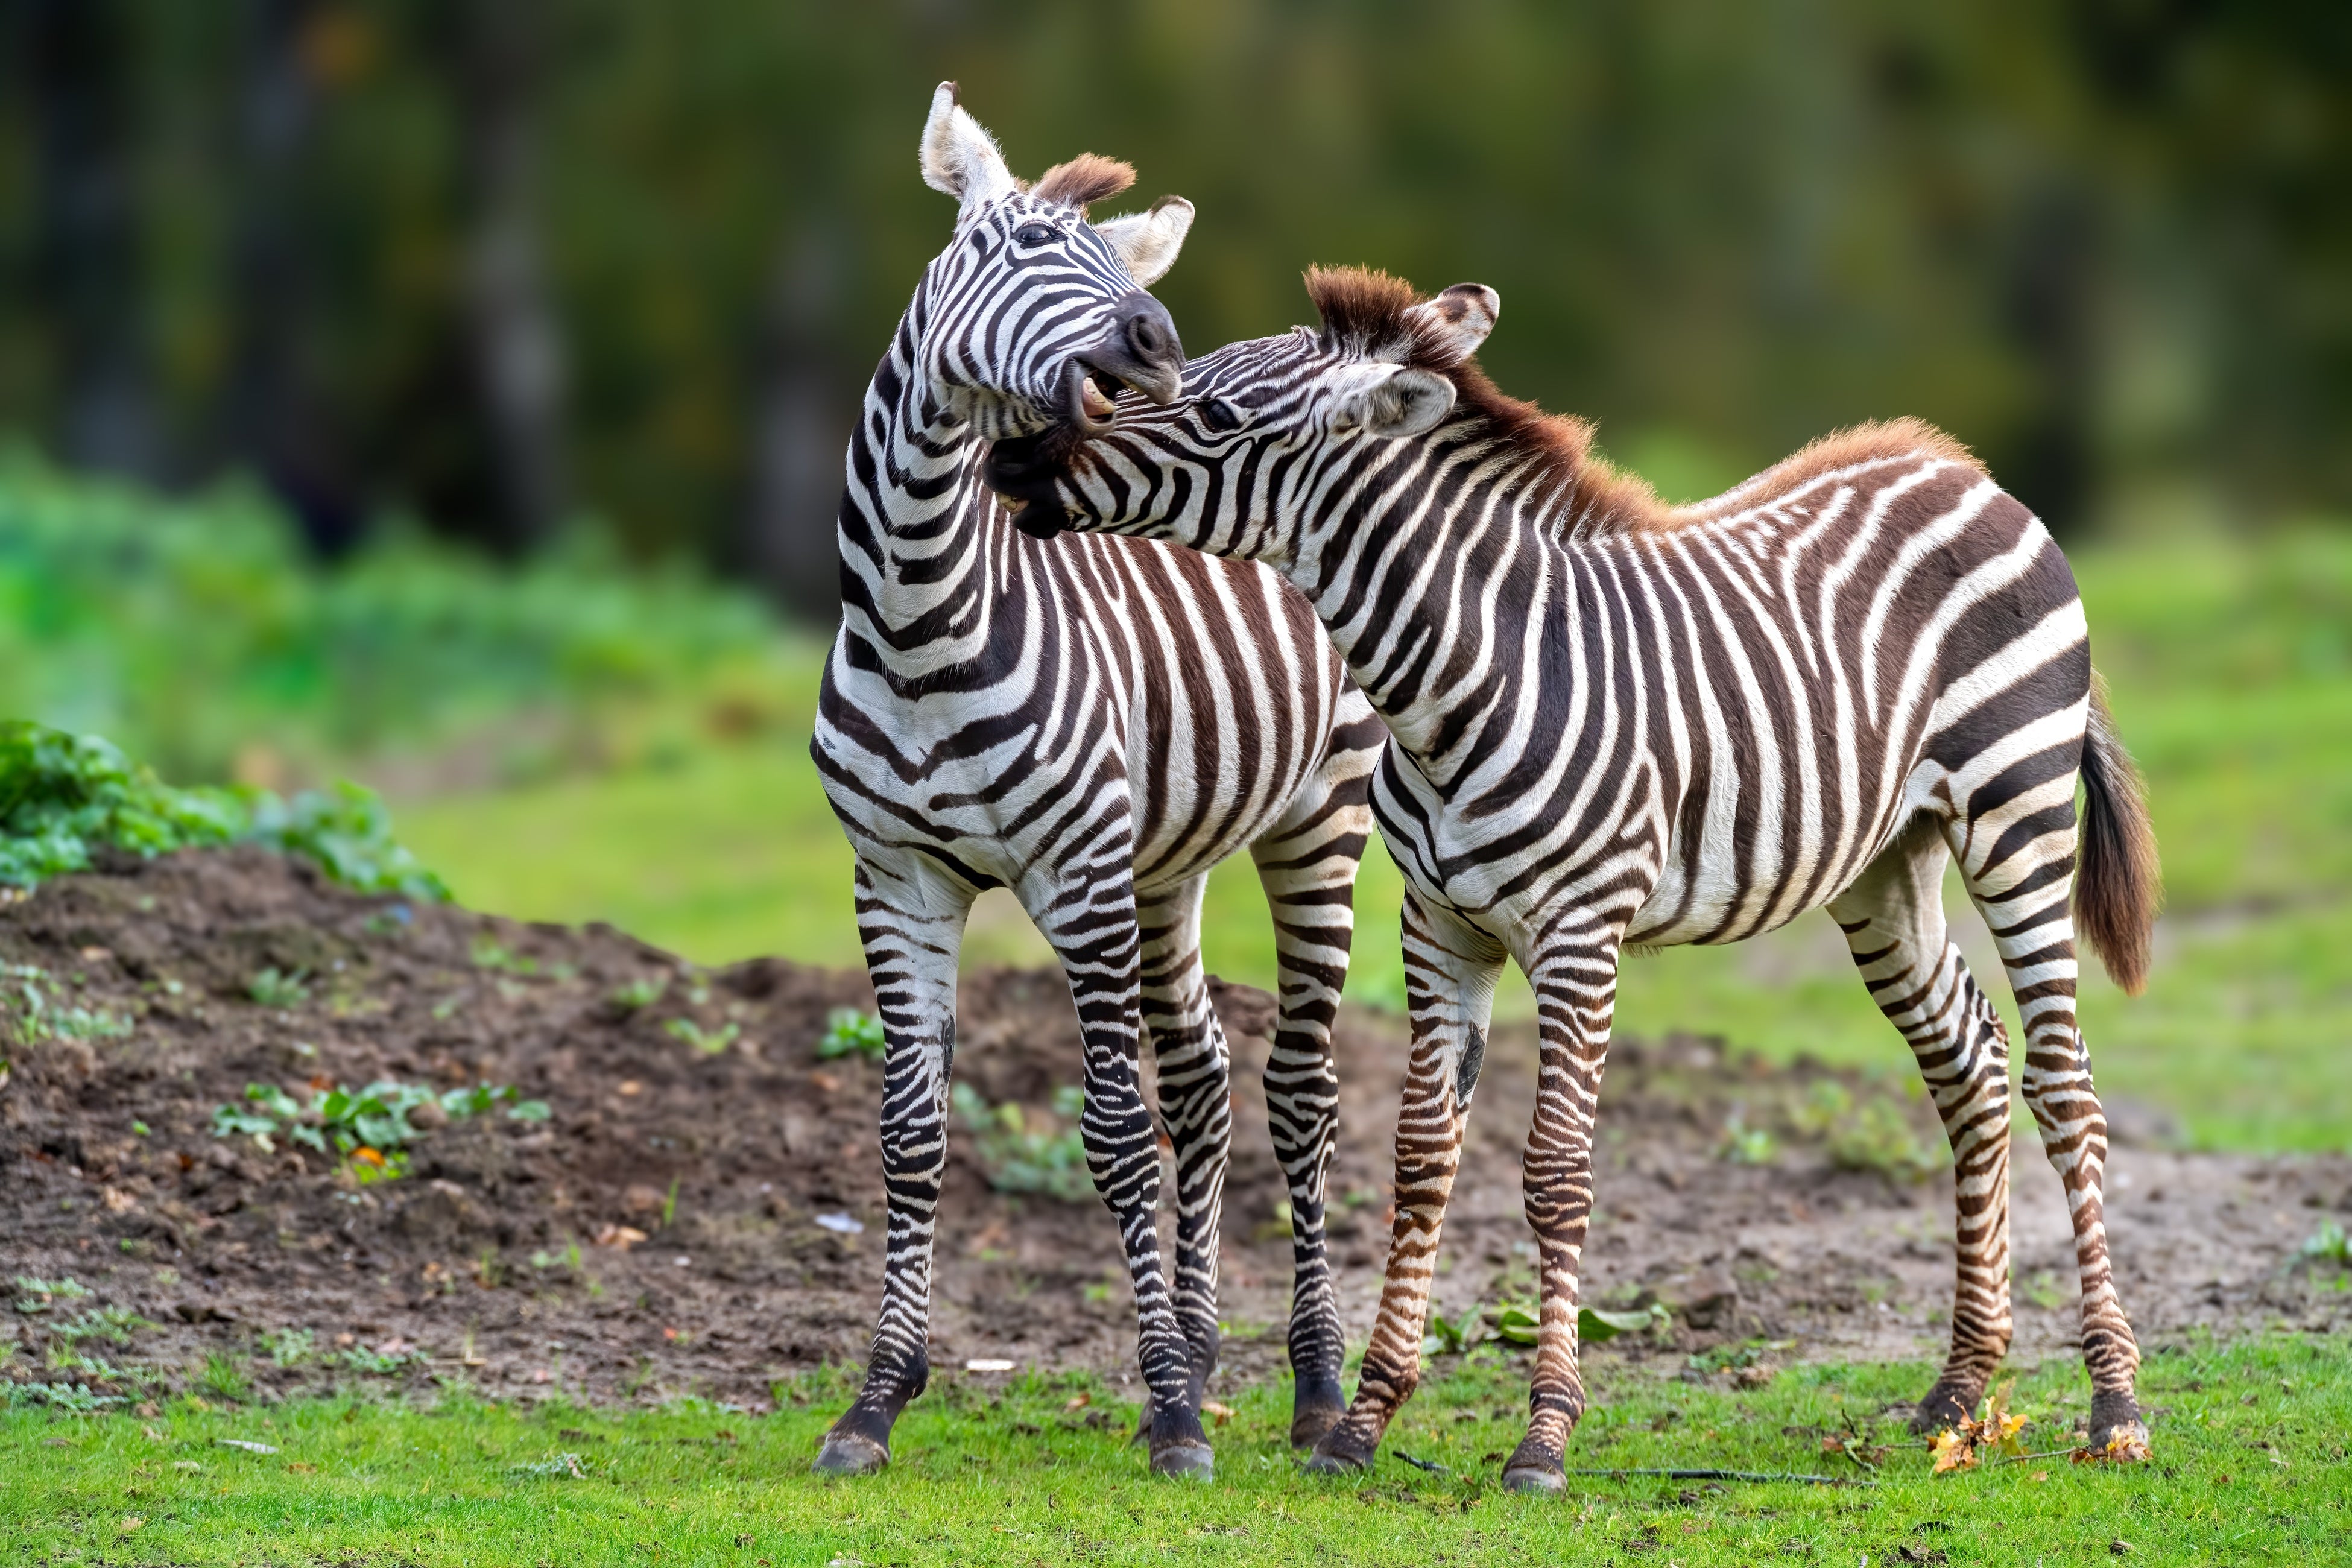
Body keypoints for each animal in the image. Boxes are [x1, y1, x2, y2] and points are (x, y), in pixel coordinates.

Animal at [809, 90, 1385, 1479]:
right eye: (1021, 242)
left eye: (1126, 268)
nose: (1159, 340)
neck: (917, 617)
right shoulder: (894, 881)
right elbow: (911, 1136)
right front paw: (876, 1400)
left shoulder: (1073, 875)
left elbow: (1116, 1135)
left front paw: (1173, 1410)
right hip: (1163, 865)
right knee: (1208, 1078)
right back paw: (1208, 1348)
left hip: (1320, 822)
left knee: (1300, 1091)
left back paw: (1314, 1387)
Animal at [986, 265, 2161, 1494]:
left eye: (1212, 413)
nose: (1015, 460)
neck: (1458, 683)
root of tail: (1966, 472)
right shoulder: (1438, 927)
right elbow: (1420, 1161)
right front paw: (1365, 1422)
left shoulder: (1579, 933)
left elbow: (1555, 1173)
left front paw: (1544, 1434)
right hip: (1885, 866)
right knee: (1969, 1062)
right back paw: (1959, 1390)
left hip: (2017, 817)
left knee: (2065, 1088)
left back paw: (2115, 1405)